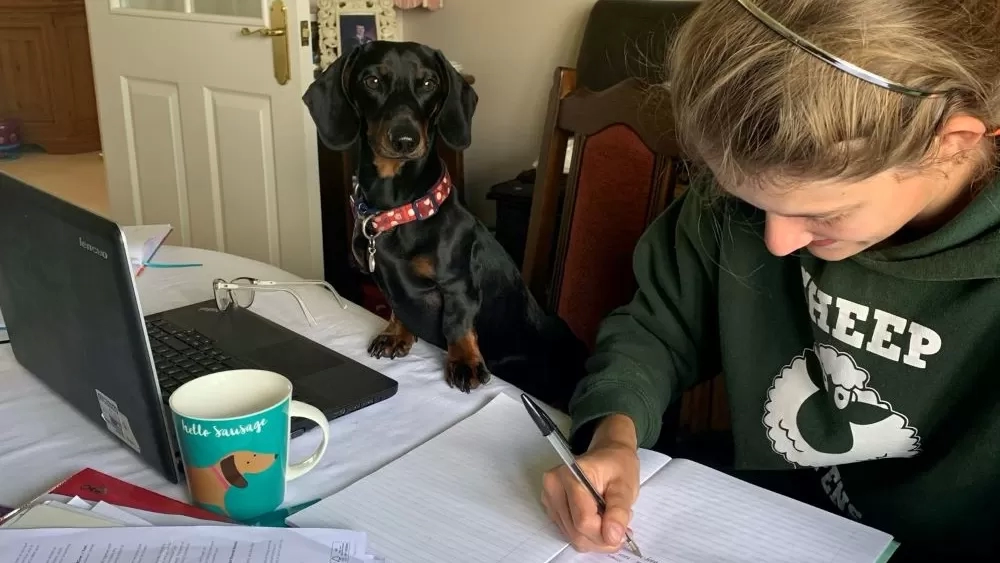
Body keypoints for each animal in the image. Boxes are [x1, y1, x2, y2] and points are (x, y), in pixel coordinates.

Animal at [302, 41, 584, 408]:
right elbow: (397, 307)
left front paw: (464, 361)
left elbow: (457, 323)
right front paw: (396, 334)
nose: (405, 140)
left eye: (428, 83)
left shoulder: (458, 284)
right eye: (372, 80)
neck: (398, 210)